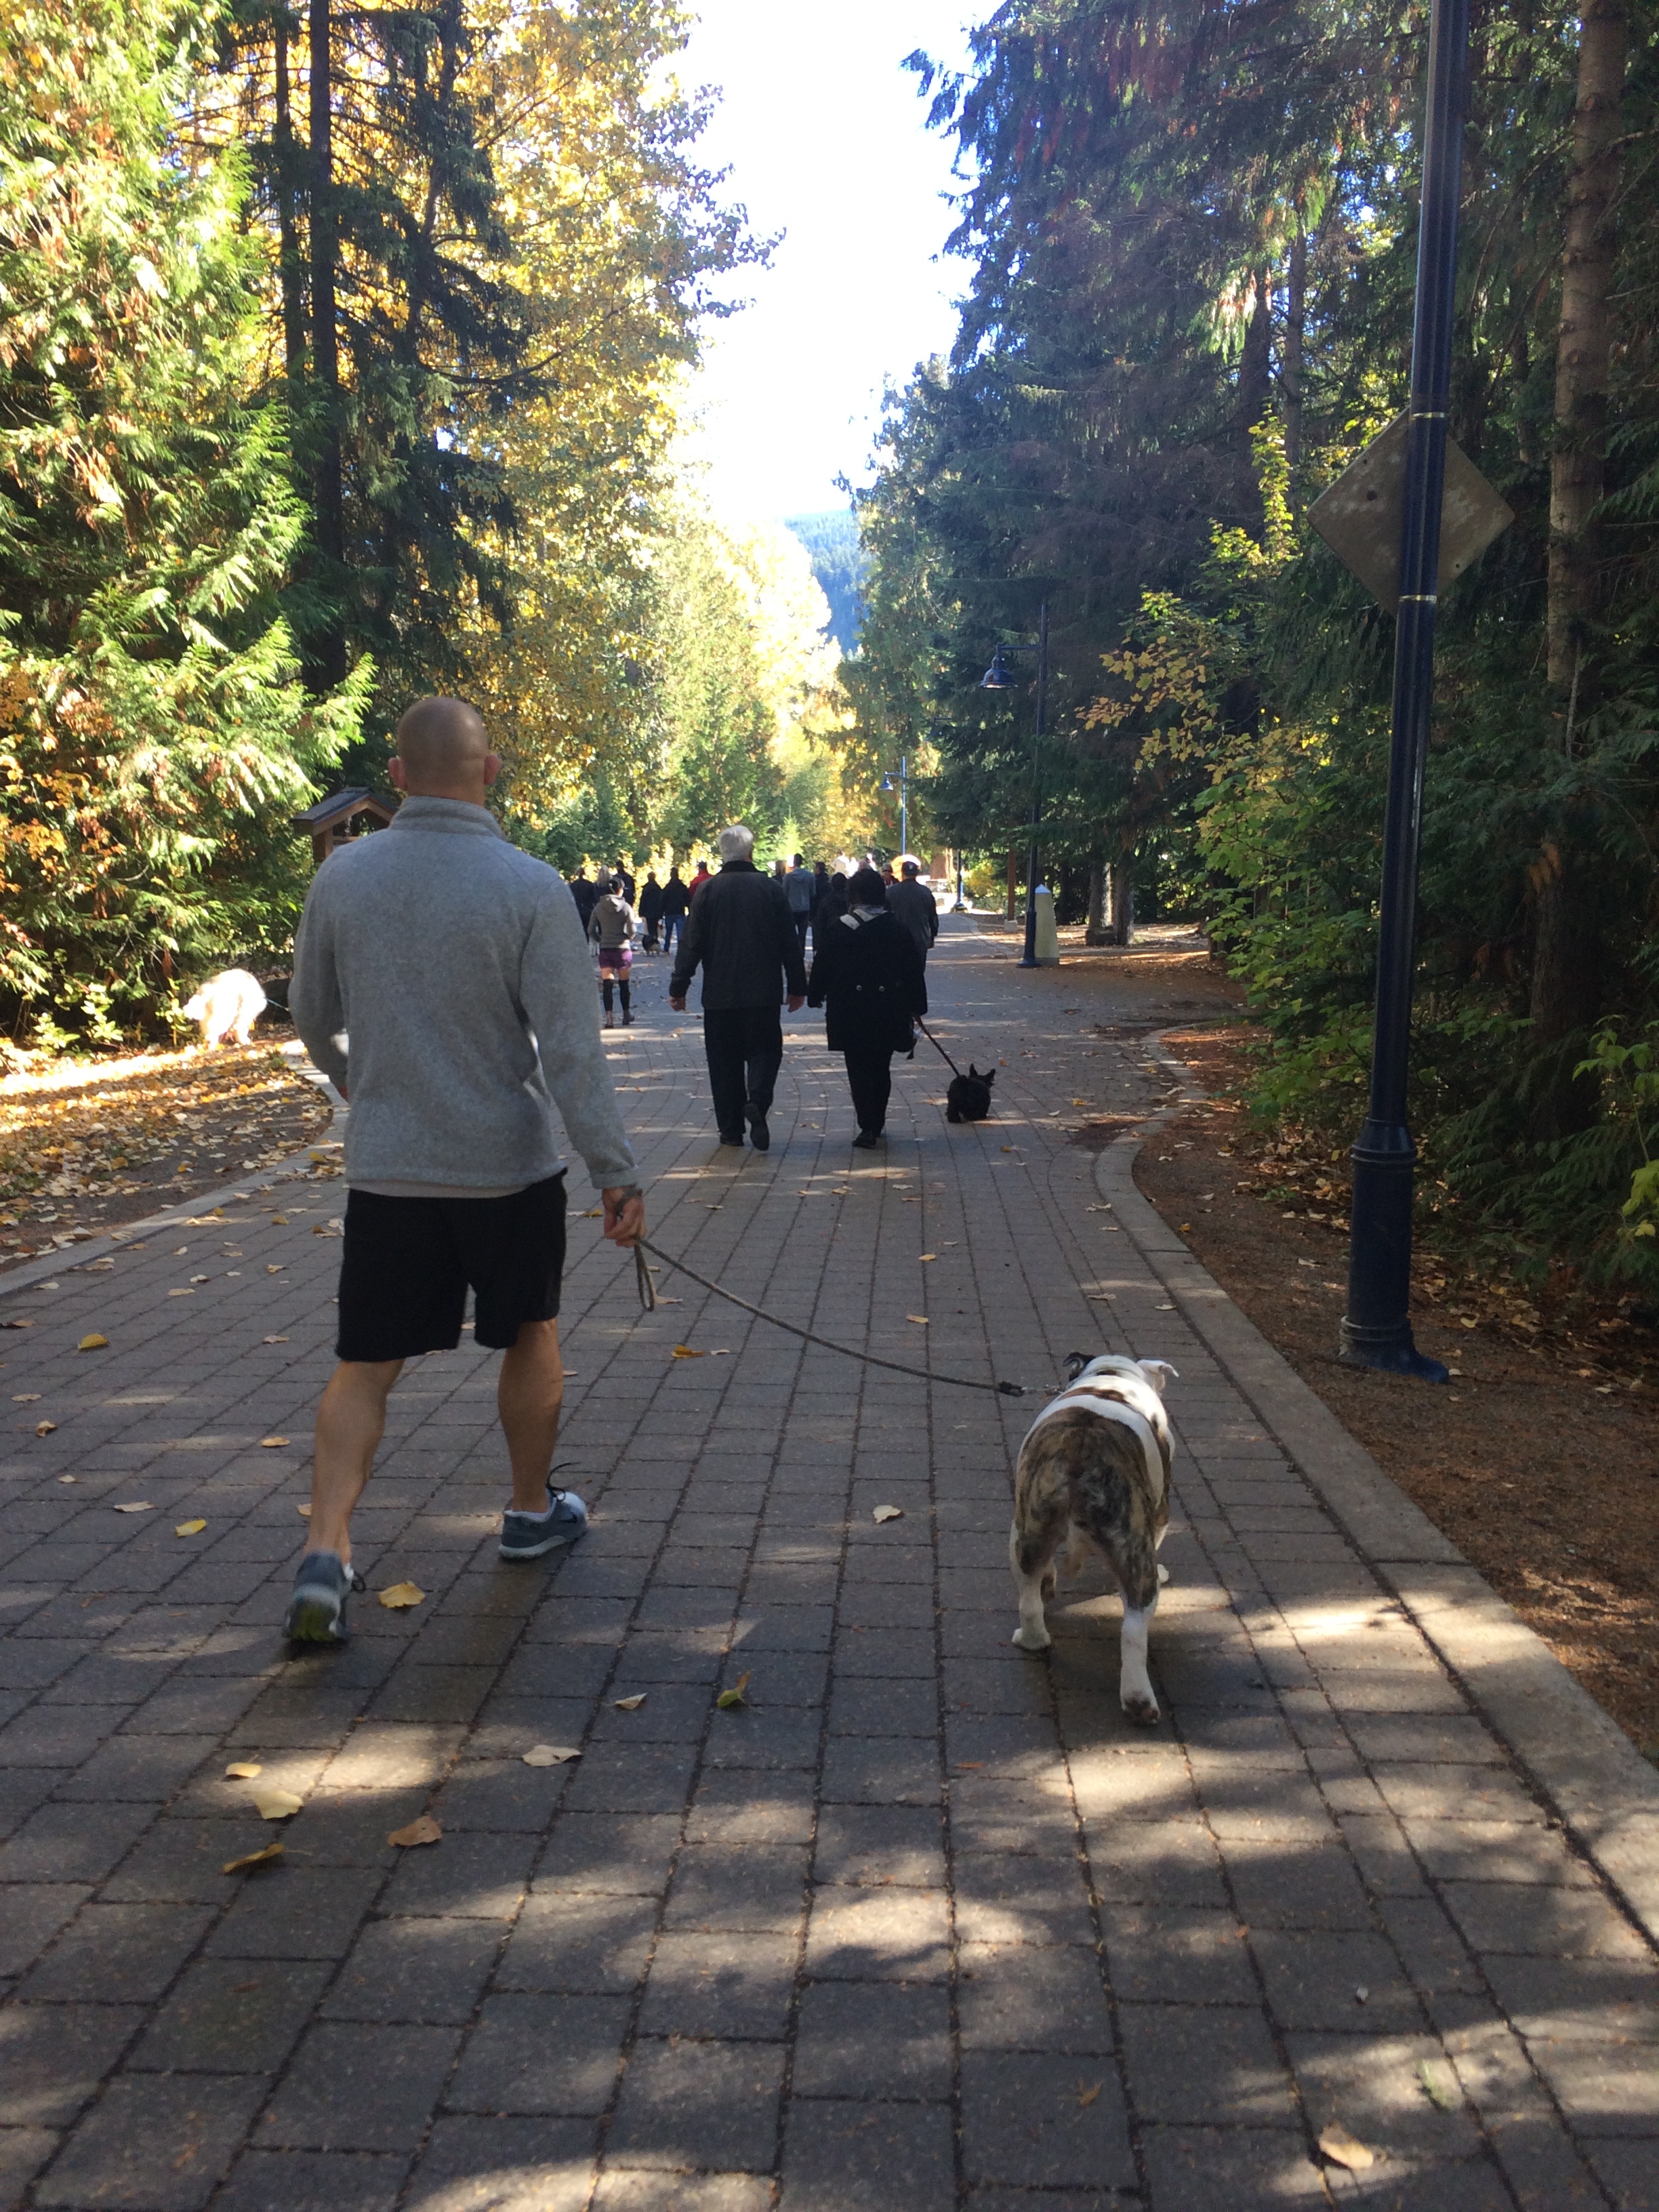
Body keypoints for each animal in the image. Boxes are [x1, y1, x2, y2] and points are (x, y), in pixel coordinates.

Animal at [1012, 1345, 1185, 1725]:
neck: (1112, 1375)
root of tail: (1080, 1450)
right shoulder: (1161, 1509)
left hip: (1027, 1530)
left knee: (1029, 1597)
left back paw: (1033, 1638)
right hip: (1135, 1549)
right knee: (1133, 1629)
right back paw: (1138, 1700)